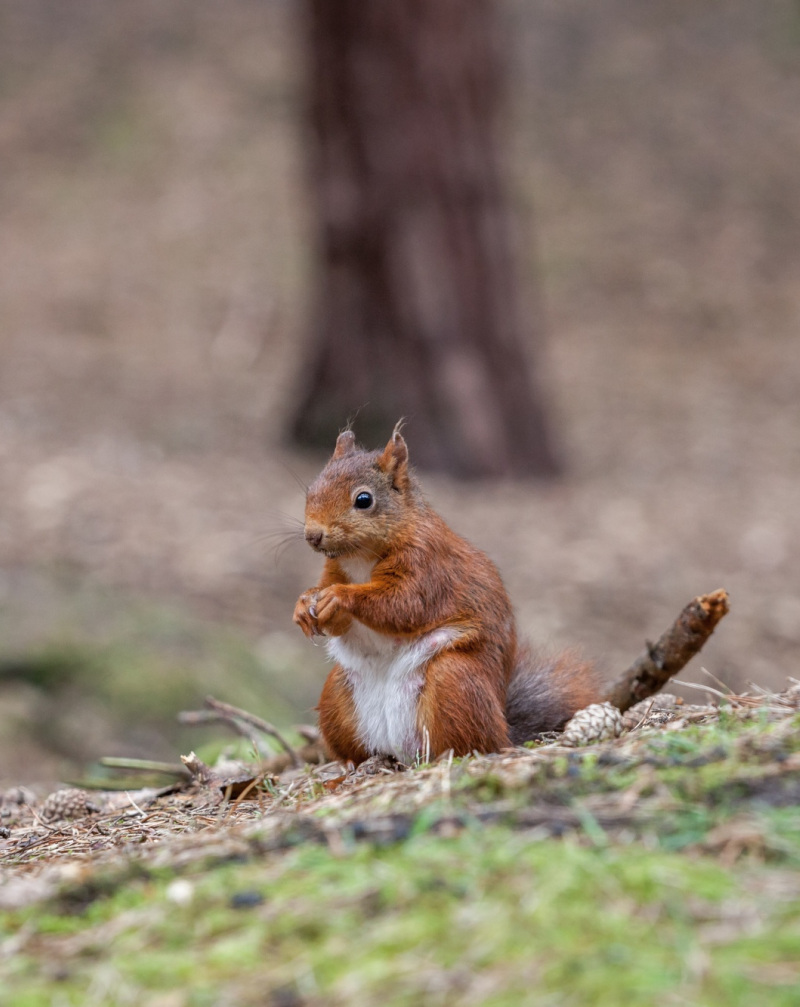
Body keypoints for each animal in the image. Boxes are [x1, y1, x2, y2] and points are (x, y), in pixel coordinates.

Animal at [292, 424, 596, 761]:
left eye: (363, 499)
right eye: (311, 489)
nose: (313, 535)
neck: (359, 557)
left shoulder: (427, 566)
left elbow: (403, 606)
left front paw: (339, 597)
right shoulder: (335, 569)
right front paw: (303, 605)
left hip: (453, 679)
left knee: (470, 740)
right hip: (336, 693)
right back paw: (358, 763)